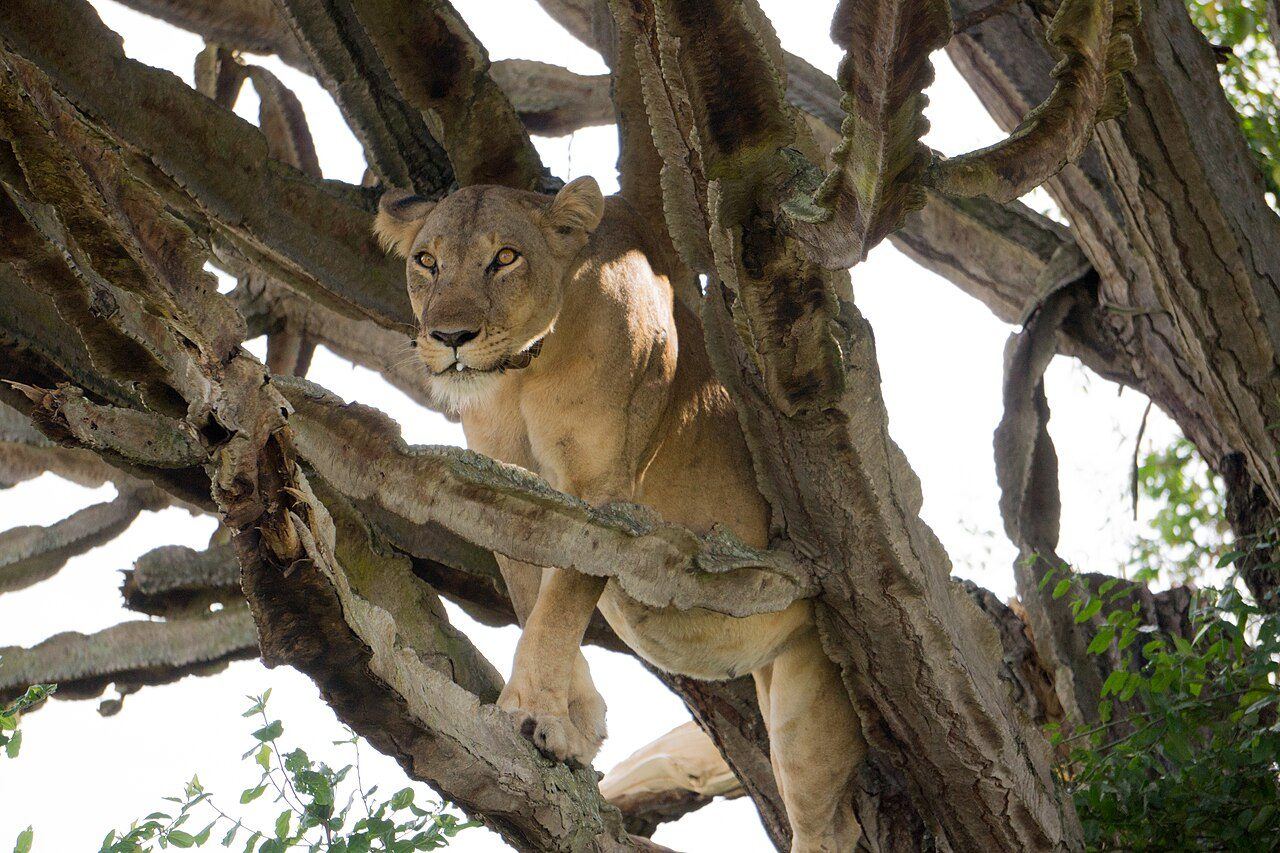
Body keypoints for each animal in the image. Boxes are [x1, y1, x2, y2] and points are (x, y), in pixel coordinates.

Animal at [375, 177, 867, 852]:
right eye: (427, 261)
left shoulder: (605, 494)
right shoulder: (500, 476)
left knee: (828, 824)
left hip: (811, 702)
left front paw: (535, 714)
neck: (528, 369)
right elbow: (532, 595)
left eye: (505, 257)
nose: (450, 338)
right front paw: (577, 720)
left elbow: (562, 599)